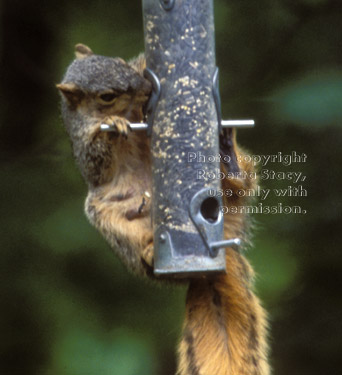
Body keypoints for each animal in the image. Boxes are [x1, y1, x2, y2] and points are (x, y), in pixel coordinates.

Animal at [56, 44, 270, 375]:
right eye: (107, 96)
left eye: (119, 62)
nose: (146, 88)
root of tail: (216, 253)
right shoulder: (86, 150)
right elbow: (97, 155)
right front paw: (113, 127)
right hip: (107, 214)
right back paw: (147, 252)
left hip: (232, 192)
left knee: (240, 185)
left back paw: (229, 157)